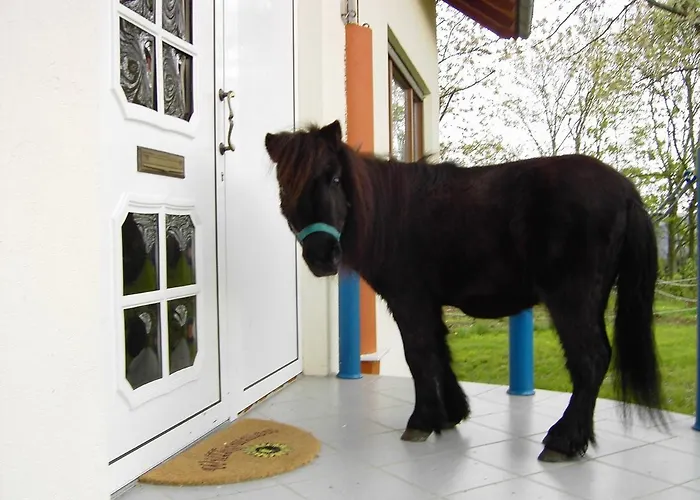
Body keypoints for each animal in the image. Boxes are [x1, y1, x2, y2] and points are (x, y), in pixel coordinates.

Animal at [263, 119, 667, 462]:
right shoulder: (427, 303)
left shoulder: (409, 300)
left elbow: (420, 355)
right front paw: (451, 413)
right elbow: (439, 352)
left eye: (334, 179)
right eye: (286, 186)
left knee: (591, 359)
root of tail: (627, 191)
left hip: (572, 299)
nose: (322, 256)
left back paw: (564, 440)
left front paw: (423, 420)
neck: (392, 214)